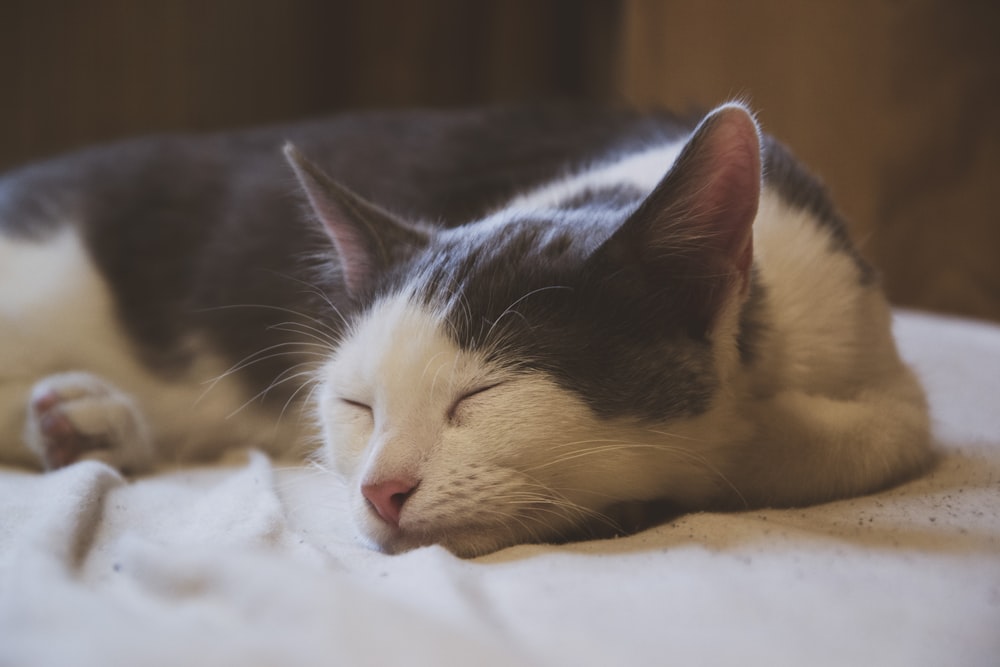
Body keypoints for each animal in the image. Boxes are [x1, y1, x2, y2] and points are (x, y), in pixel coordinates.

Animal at [0, 102, 928, 556]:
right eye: (358, 406)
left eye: (483, 395)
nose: (380, 490)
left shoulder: (879, 365)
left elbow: (872, 433)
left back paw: (83, 422)